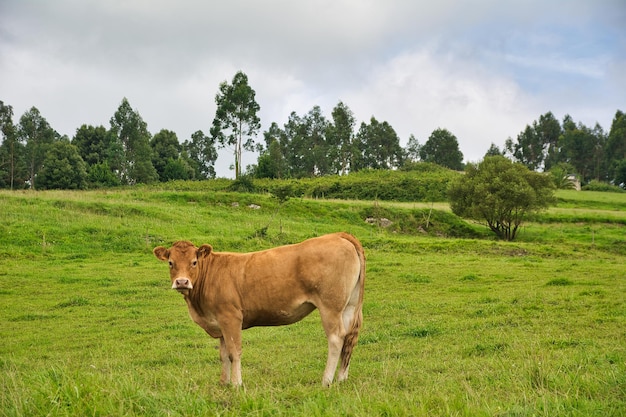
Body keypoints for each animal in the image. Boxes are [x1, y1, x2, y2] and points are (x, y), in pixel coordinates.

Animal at [153, 232, 364, 386]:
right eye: (171, 263)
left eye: (194, 262)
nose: (182, 282)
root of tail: (338, 235)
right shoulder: (219, 322)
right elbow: (223, 355)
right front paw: (223, 383)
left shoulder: (231, 317)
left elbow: (234, 352)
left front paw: (236, 384)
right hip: (349, 306)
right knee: (349, 339)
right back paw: (341, 379)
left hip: (330, 307)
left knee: (336, 339)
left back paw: (326, 381)